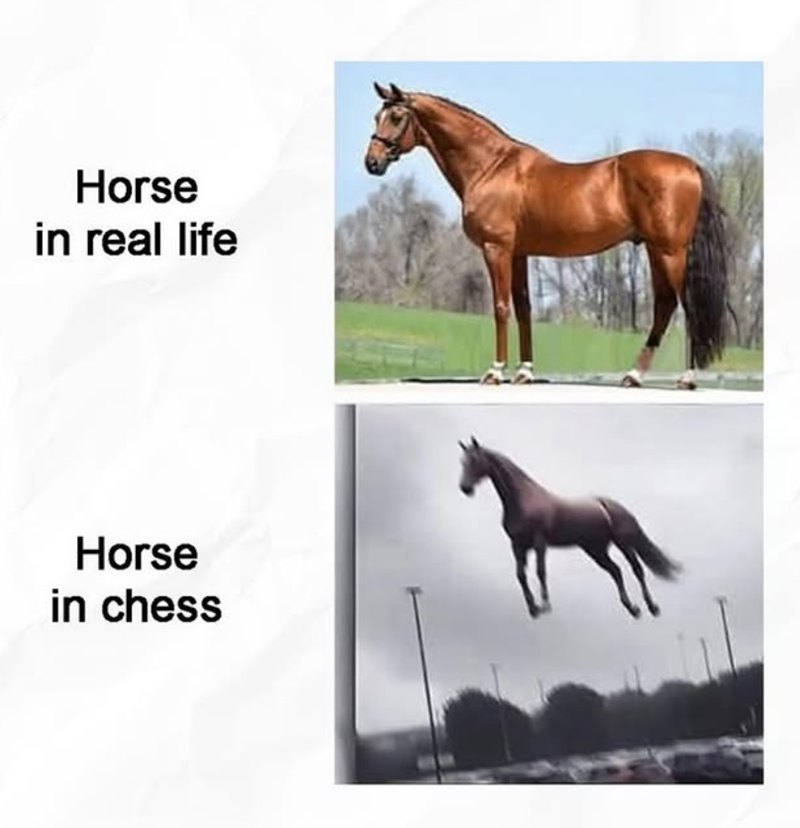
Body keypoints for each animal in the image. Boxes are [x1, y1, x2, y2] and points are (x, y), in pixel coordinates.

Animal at [365, 82, 730, 388]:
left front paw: (495, 372)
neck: (492, 167)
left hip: (671, 251)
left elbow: (501, 307)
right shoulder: (519, 253)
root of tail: (691, 166)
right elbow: (525, 308)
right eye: (377, 116)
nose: (372, 163)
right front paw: (524, 372)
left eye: (396, 117)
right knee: (665, 306)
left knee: (688, 307)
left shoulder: (496, 248)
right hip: (656, 251)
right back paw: (633, 376)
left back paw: (685, 378)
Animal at [457, 437, 680, 619]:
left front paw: (545, 606)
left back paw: (652, 607)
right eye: (462, 461)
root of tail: (615, 507)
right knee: (616, 571)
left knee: (637, 570)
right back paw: (632, 608)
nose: (465, 488)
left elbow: (540, 571)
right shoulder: (518, 545)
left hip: (623, 543)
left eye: (475, 460)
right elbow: (520, 576)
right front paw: (533, 609)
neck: (523, 499)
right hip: (596, 550)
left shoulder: (539, 541)